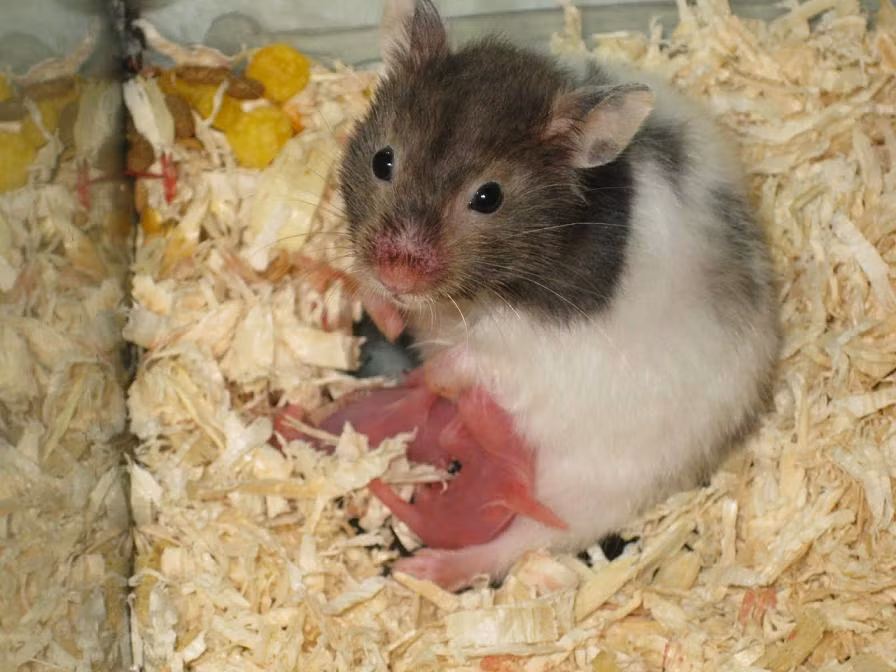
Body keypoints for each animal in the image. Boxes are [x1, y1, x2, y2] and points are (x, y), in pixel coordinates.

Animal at [336, 0, 780, 590]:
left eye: (488, 197)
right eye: (383, 161)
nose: (397, 273)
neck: (484, 293)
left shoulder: (535, 346)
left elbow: (474, 358)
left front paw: (430, 375)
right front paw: (383, 313)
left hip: (583, 487)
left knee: (520, 542)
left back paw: (424, 568)